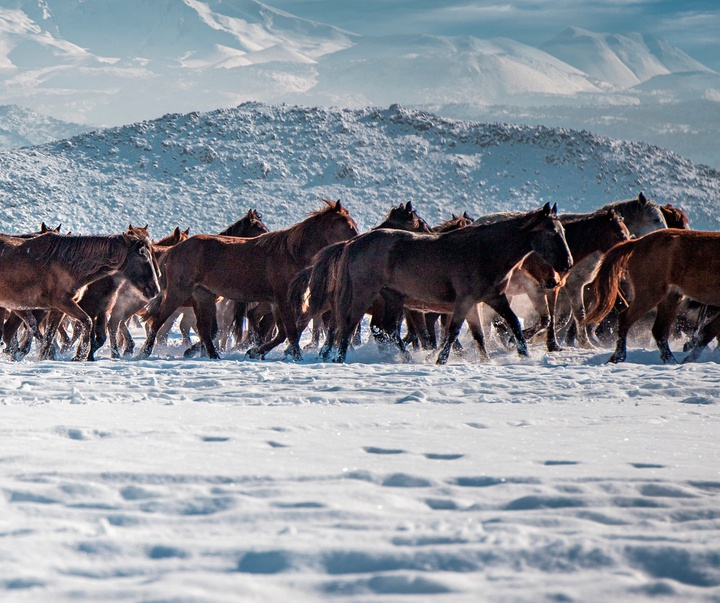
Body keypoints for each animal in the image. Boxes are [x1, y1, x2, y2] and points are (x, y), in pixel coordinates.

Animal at [0, 230, 159, 364]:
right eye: (142, 256)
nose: (155, 290)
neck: (68, 265)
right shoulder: (64, 303)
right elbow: (86, 323)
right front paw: (79, 355)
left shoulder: (57, 309)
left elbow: (49, 336)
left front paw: (44, 358)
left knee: (12, 331)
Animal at [138, 201, 358, 360]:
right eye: (347, 225)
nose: (355, 241)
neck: (291, 252)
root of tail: (174, 250)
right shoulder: (283, 299)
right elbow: (290, 331)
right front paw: (296, 357)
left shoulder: (276, 302)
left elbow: (281, 333)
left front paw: (254, 351)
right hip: (178, 293)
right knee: (158, 320)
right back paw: (144, 352)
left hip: (204, 296)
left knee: (204, 329)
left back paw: (213, 355)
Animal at [332, 203, 572, 364]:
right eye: (551, 232)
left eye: (563, 231)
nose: (567, 263)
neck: (484, 252)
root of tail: (355, 242)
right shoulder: (464, 301)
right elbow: (454, 331)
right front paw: (441, 360)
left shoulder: (492, 298)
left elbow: (501, 327)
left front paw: (517, 355)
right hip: (366, 294)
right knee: (350, 324)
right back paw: (341, 359)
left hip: (393, 298)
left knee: (388, 330)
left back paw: (407, 358)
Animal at [584, 230, 720, 364]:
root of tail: (637, 243)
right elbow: (708, 333)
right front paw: (689, 358)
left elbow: (709, 332)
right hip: (650, 294)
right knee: (625, 319)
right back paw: (619, 357)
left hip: (671, 297)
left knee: (659, 330)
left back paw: (670, 360)